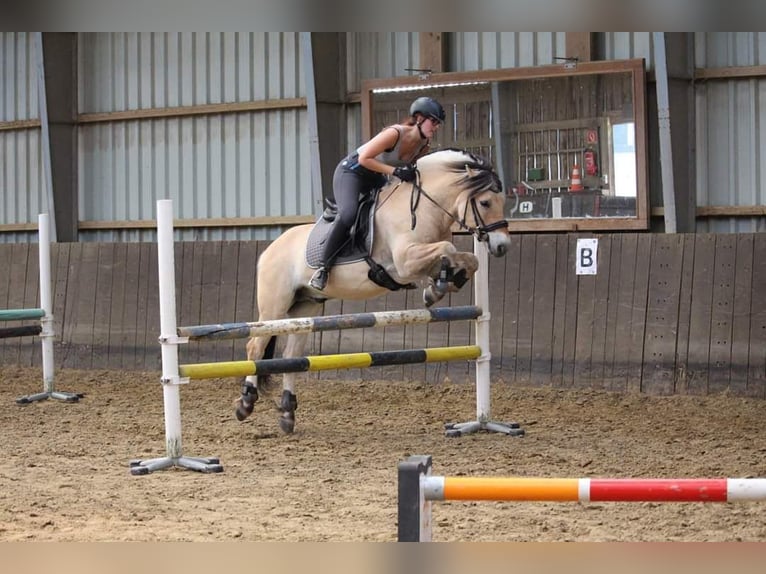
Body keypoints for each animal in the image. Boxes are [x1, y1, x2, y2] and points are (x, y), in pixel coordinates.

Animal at [235, 148, 511, 433]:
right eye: (485, 203)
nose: (502, 246)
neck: (423, 209)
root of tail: (269, 249)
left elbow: (469, 259)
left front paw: (442, 284)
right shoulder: (404, 262)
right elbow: (448, 248)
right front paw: (438, 286)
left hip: (305, 307)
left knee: (291, 356)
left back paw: (288, 414)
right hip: (274, 307)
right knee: (256, 348)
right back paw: (246, 403)